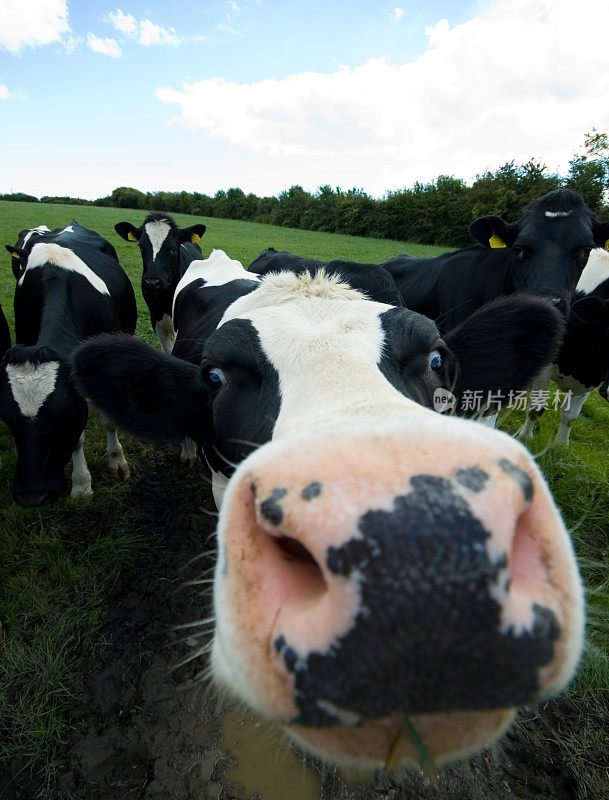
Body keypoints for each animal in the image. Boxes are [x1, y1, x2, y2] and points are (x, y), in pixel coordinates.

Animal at [0, 220, 137, 506]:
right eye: (7, 417)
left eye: (62, 415)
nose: (32, 496)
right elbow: (77, 440)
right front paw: (81, 485)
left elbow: (109, 421)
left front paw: (117, 461)